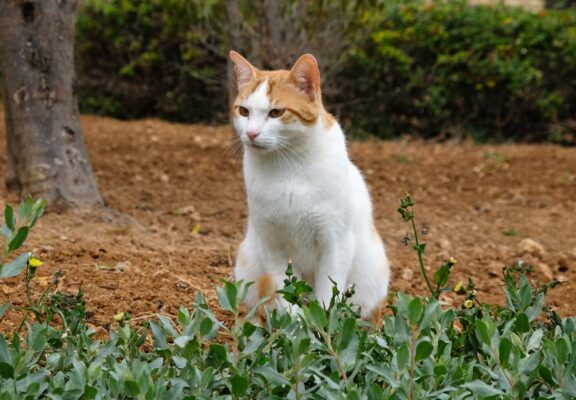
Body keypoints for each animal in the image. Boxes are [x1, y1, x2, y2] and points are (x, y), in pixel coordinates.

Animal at [230, 50, 392, 320]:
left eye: (276, 113)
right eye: (244, 111)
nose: (251, 133)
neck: (287, 168)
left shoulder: (336, 243)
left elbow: (327, 296)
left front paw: (322, 325)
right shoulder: (271, 246)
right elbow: (286, 296)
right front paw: (296, 324)